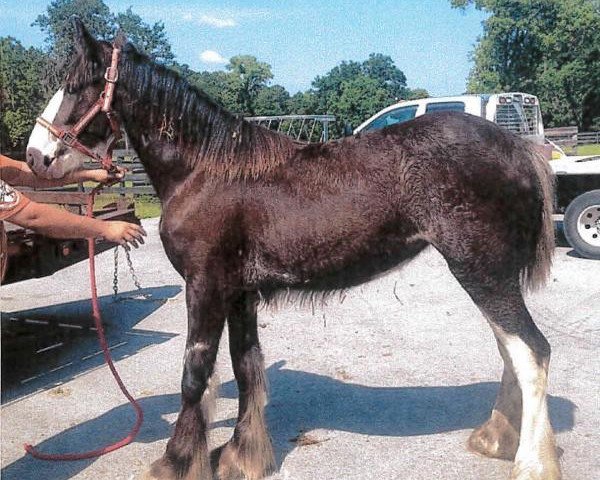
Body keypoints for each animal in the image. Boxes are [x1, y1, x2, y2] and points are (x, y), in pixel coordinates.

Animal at [27, 21, 564, 480]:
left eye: (75, 85)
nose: (35, 157)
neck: (205, 170)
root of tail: (517, 147)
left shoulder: (205, 287)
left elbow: (195, 373)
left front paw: (176, 462)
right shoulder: (239, 294)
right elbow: (245, 368)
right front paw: (242, 457)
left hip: (481, 271)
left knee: (531, 351)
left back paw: (532, 463)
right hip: (487, 273)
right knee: (511, 348)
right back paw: (496, 438)